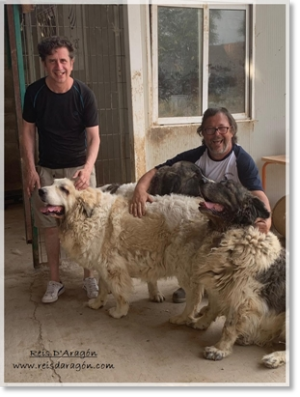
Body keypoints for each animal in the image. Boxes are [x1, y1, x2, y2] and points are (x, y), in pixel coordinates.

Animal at [38, 178, 209, 320]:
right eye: (53, 183)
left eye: (64, 189)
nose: (40, 190)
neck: (86, 216)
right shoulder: (102, 264)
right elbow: (102, 287)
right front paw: (98, 303)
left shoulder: (113, 267)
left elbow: (119, 293)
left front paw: (119, 312)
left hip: (183, 265)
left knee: (194, 296)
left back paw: (183, 318)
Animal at [185, 179, 286, 368]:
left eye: (227, 185)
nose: (201, 179)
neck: (227, 233)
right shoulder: (218, 289)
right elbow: (212, 307)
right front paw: (202, 322)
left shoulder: (242, 297)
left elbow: (229, 326)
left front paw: (219, 349)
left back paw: (274, 357)